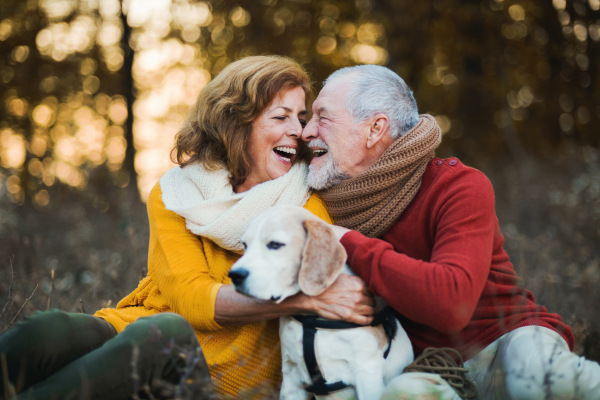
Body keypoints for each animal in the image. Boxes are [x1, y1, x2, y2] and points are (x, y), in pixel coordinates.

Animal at [229, 206, 412, 400]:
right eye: (245, 245)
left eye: (275, 244)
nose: (234, 275)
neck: (312, 319)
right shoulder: (291, 377)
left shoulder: (367, 372)